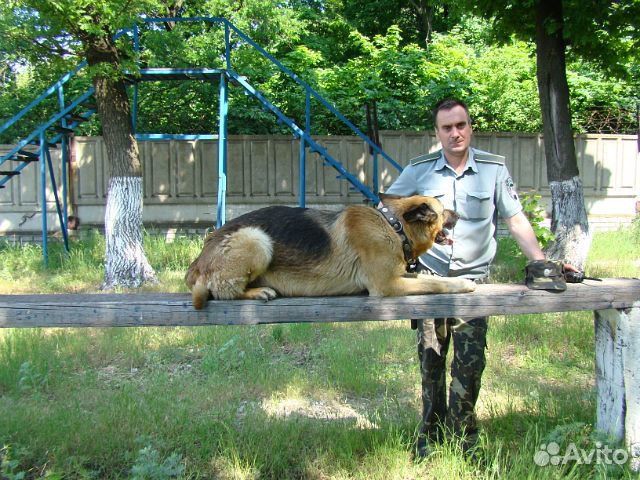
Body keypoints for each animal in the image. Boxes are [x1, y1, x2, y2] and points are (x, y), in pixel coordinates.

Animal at [185, 193, 476, 310]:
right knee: (224, 292)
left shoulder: (398, 276)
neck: (394, 226)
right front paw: (463, 284)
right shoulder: (387, 285)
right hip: (256, 239)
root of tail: (199, 261)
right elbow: (436, 283)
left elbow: (431, 278)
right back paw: (258, 292)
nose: (460, 214)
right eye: (444, 211)